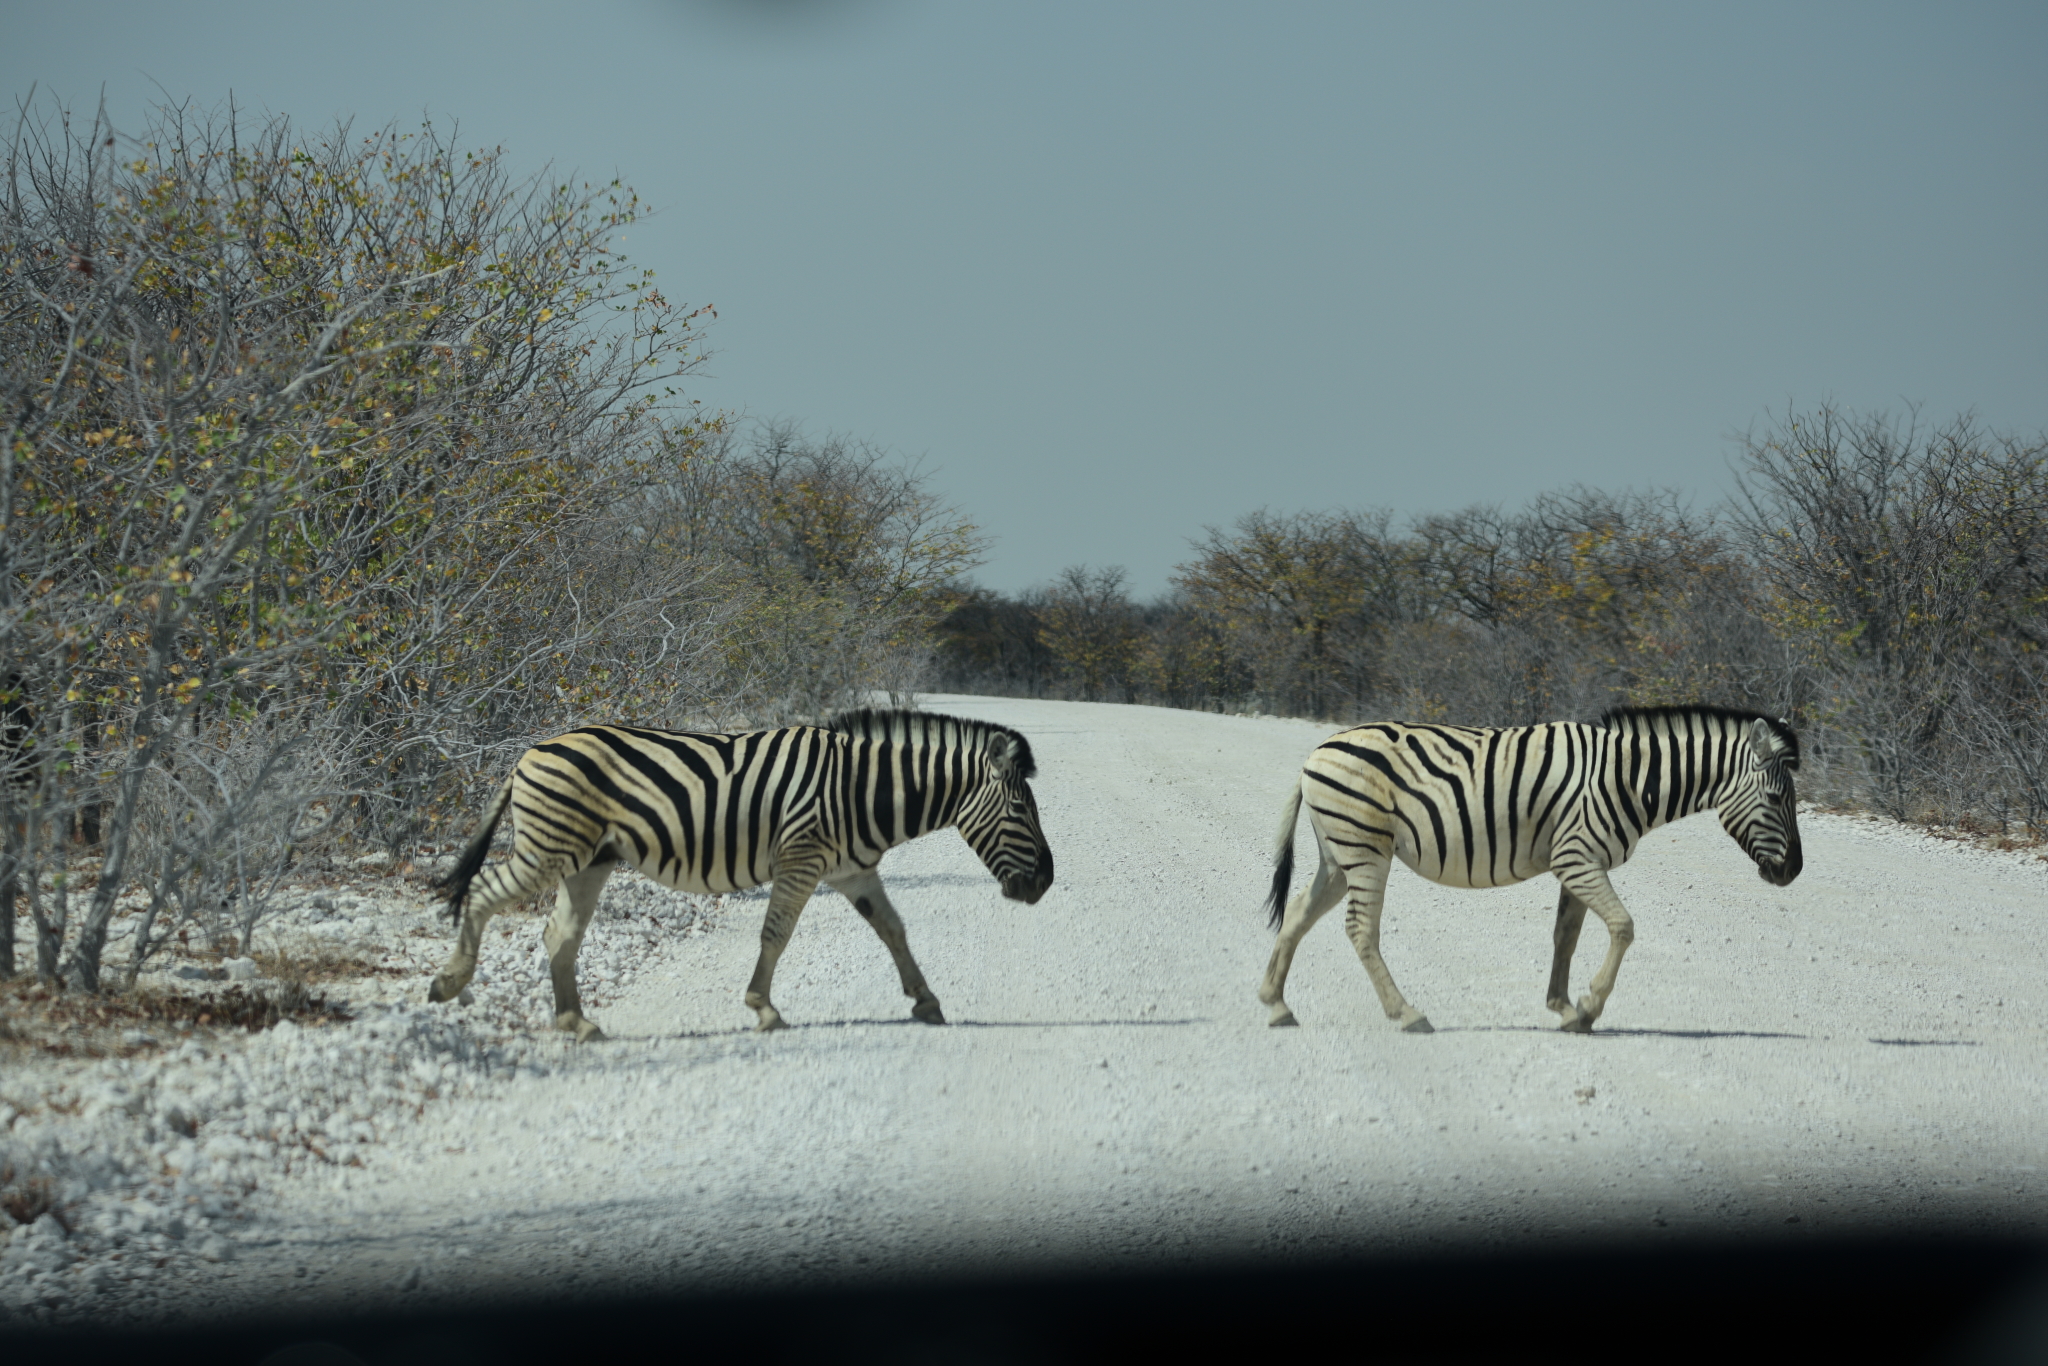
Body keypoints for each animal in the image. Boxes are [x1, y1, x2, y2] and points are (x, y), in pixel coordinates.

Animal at [421, 712, 1048, 1040]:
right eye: (1021, 811)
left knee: (560, 935)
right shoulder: (802, 858)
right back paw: (449, 983)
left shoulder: (854, 871)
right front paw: (763, 1008)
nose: (1043, 884)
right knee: (484, 892)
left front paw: (926, 1002)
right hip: (550, 848)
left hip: (587, 859)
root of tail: (529, 751)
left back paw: (576, 1022)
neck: (862, 791)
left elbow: (893, 930)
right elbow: (777, 933)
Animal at [1253, 712, 1802, 1032]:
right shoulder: (1578, 857)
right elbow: (1623, 927)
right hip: (1365, 848)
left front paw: (1564, 1007)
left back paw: (1276, 1005)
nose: (1794, 872)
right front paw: (1590, 1006)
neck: (1630, 779)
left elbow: (1566, 937)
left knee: (1299, 915)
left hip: (1338, 853)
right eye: (1778, 799)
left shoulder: (1578, 863)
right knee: (1360, 928)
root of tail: (1318, 751)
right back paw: (1406, 1013)